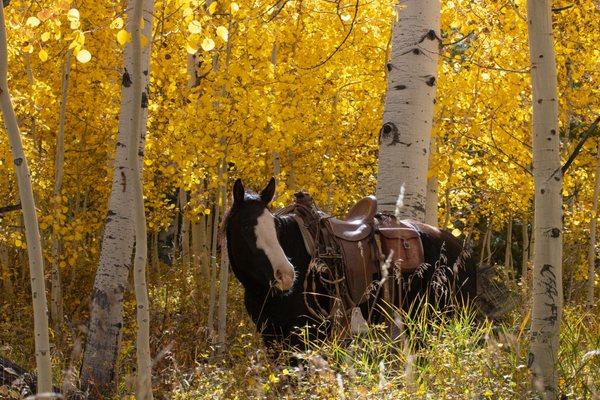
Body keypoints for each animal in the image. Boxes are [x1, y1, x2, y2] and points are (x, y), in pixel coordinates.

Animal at [224, 178, 478, 350]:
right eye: (245, 227)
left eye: (275, 226)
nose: (285, 275)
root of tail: (458, 245)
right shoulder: (273, 336)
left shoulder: (306, 334)